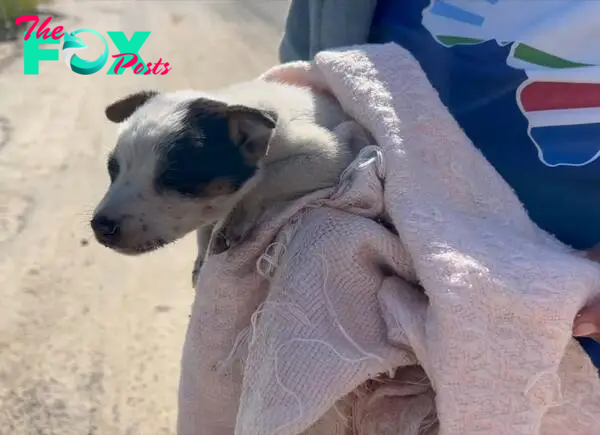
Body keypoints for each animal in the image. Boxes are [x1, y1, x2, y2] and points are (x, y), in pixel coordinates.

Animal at [91, 81, 358, 286]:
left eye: (173, 178)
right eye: (112, 168)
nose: (100, 226)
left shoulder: (331, 155)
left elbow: (265, 179)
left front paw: (233, 222)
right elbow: (204, 228)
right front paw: (202, 255)